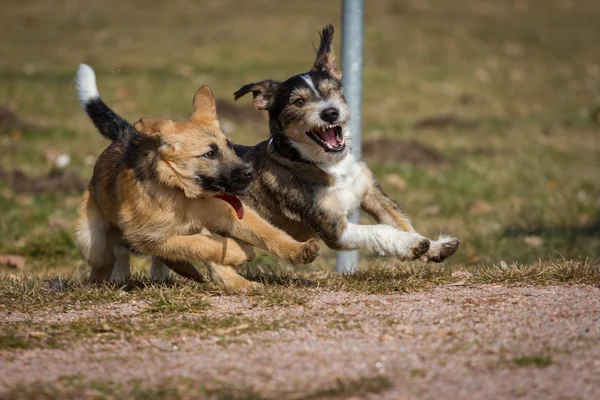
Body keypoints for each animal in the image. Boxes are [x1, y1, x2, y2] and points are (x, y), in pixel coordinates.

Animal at [74, 64, 318, 290]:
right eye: (209, 154)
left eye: (229, 146)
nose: (251, 173)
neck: (185, 193)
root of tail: (128, 135)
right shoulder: (151, 237)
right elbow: (199, 244)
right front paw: (240, 252)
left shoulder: (230, 214)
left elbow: (268, 232)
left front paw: (298, 250)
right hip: (92, 240)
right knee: (106, 261)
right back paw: (101, 284)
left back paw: (237, 283)